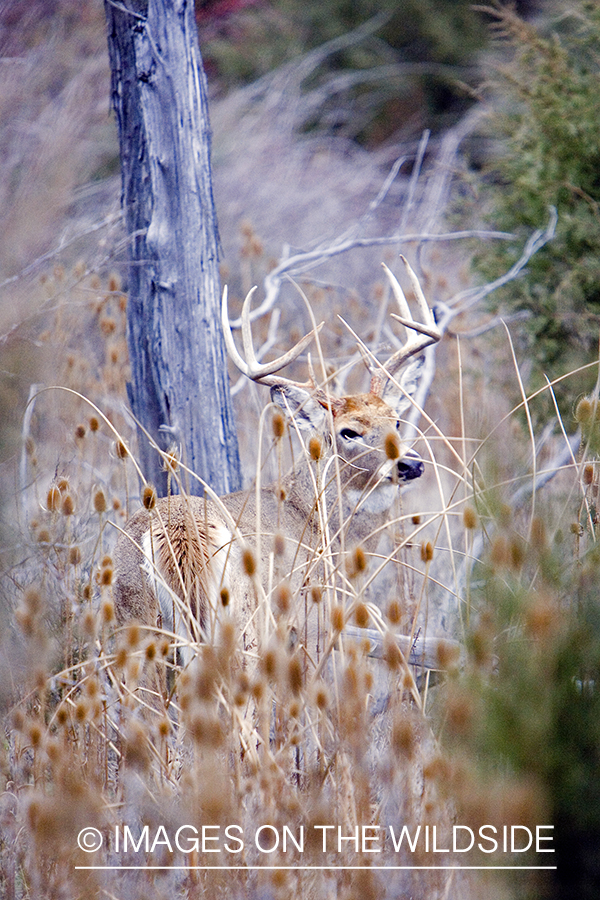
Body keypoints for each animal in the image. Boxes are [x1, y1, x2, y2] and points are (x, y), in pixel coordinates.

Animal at [112, 256, 452, 684]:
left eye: (396, 420)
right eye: (349, 432)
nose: (411, 463)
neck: (316, 523)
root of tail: (175, 530)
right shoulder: (311, 623)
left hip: (135, 624)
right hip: (239, 621)